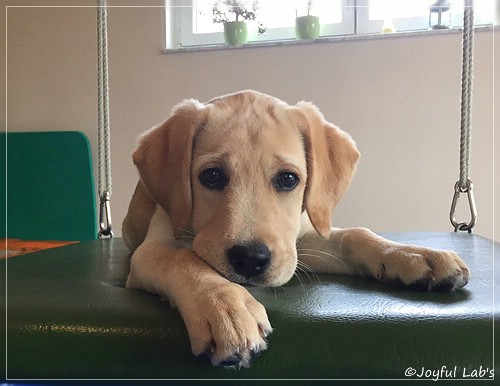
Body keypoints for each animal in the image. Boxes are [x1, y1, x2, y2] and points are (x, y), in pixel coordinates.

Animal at [123, 89, 470, 368]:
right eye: (211, 176)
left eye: (288, 179)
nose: (250, 259)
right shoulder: (153, 248)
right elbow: (184, 258)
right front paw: (225, 308)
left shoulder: (300, 243)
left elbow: (355, 235)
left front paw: (414, 255)